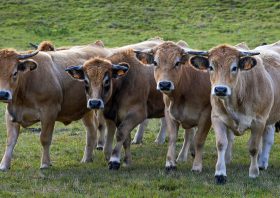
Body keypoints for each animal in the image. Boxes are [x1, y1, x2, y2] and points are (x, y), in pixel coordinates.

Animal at [188, 41, 280, 185]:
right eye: (210, 67)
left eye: (234, 67)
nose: (220, 89)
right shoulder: (217, 118)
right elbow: (221, 144)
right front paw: (220, 173)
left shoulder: (259, 121)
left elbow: (253, 148)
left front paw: (253, 173)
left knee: (267, 139)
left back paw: (261, 163)